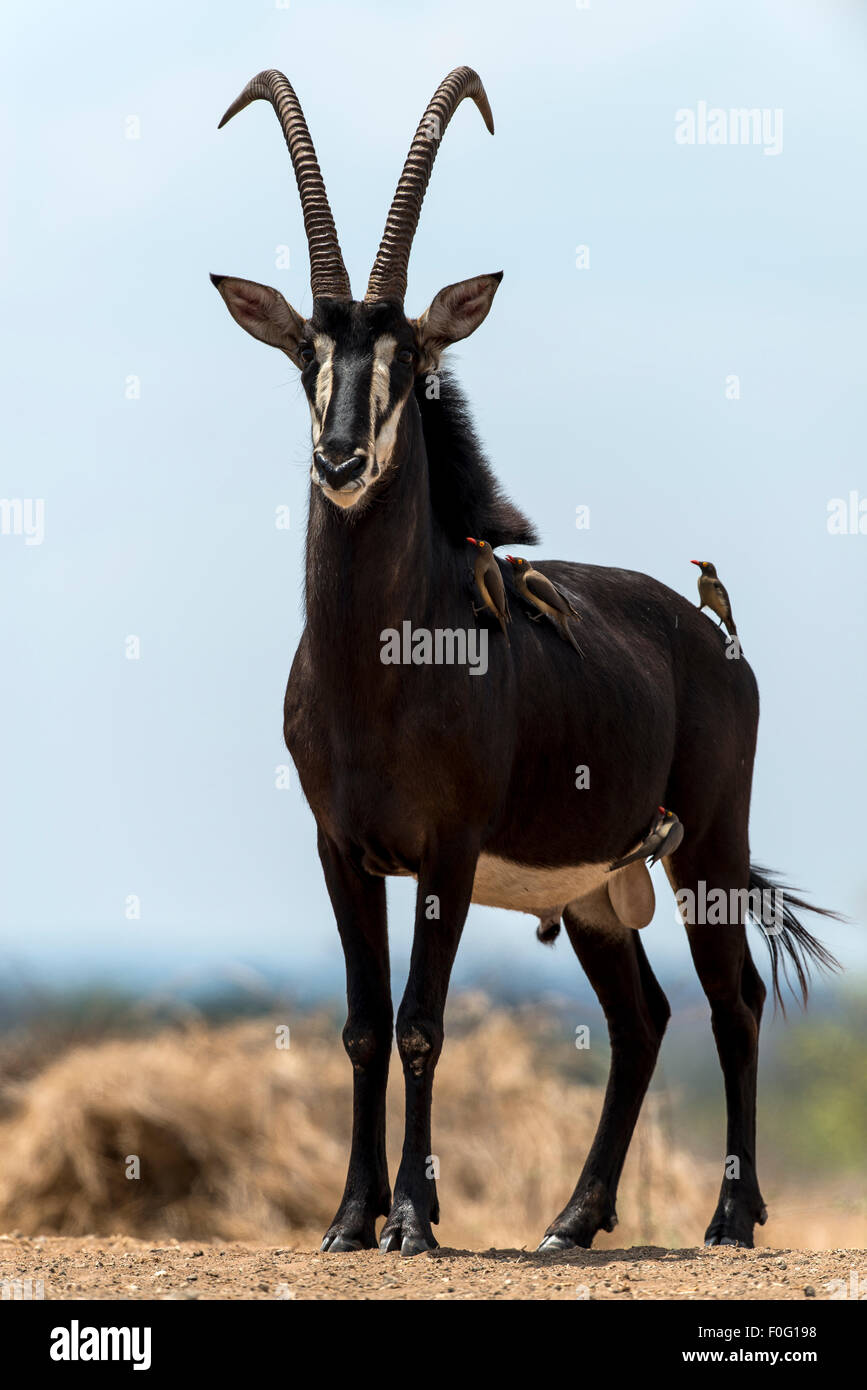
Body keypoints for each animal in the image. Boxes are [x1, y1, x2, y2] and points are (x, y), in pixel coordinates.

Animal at [211, 70, 839, 1256]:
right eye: (307, 355)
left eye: (410, 358)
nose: (341, 460)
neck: (380, 664)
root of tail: (713, 631)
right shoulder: (341, 847)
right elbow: (361, 1026)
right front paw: (349, 1219)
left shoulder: (448, 852)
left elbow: (421, 1023)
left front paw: (414, 1220)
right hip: (595, 888)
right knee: (641, 1018)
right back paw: (573, 1218)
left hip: (709, 844)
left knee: (730, 1001)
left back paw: (730, 1220)